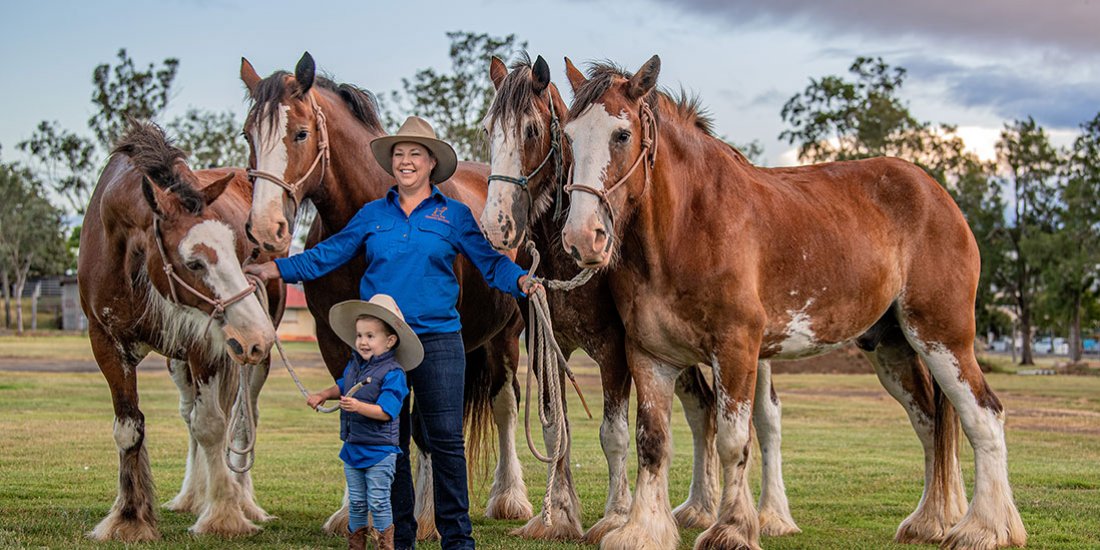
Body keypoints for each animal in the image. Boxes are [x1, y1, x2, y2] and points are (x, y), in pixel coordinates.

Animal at [79, 121, 281, 541]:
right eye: (194, 262)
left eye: (239, 249)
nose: (257, 334)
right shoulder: (106, 343)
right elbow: (129, 428)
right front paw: (129, 517)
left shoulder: (204, 344)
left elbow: (212, 426)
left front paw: (223, 514)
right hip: (182, 363)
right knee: (191, 416)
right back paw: (191, 496)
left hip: (247, 364)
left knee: (242, 420)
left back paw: (245, 500)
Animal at [563, 56, 1025, 550]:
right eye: (568, 136)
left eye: (621, 134)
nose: (582, 237)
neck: (687, 228)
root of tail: (938, 195)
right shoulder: (650, 356)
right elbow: (652, 441)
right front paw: (642, 530)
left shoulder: (736, 349)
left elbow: (733, 441)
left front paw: (731, 529)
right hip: (893, 347)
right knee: (930, 424)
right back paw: (930, 521)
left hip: (943, 338)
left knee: (984, 416)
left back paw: (985, 527)